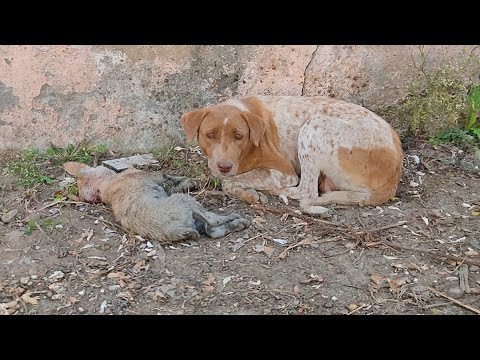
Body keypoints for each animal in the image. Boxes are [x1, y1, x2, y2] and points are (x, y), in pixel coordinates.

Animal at [63, 162, 251, 242]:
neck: (106, 187)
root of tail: (176, 231)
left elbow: (173, 185)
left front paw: (188, 183)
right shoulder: (150, 176)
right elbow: (166, 175)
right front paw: (191, 180)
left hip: (194, 221)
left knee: (213, 231)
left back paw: (238, 224)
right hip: (186, 204)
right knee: (213, 221)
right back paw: (236, 218)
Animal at [182, 95, 404, 214]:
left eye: (239, 136)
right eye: (210, 135)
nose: (224, 166)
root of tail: (395, 172)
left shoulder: (283, 172)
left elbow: (229, 182)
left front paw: (248, 192)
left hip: (313, 127)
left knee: (307, 190)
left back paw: (272, 191)